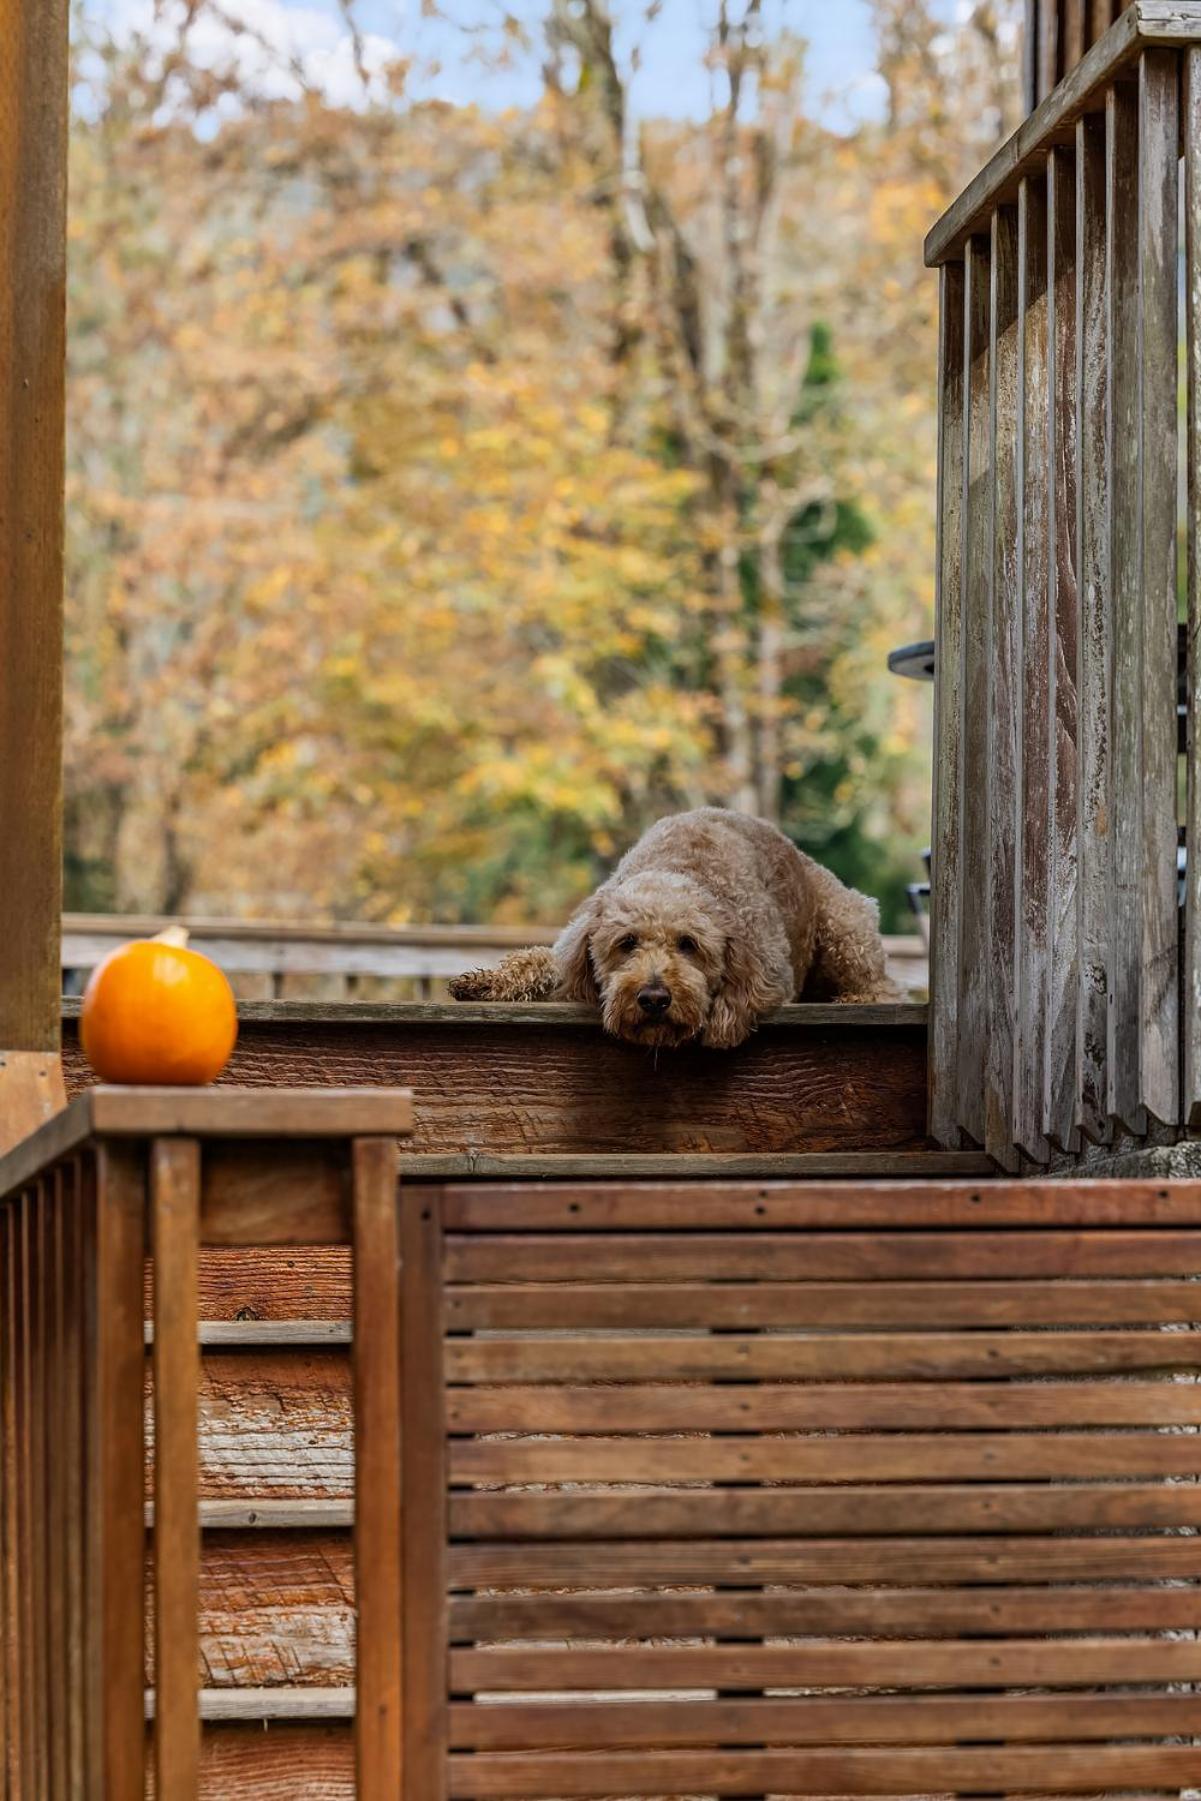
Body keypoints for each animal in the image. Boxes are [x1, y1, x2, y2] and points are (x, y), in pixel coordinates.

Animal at [450, 810, 900, 1051]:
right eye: (626, 943)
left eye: (689, 945)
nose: (653, 998)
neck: (678, 868)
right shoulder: (572, 945)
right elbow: (539, 961)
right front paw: (485, 983)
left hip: (847, 924)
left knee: (884, 987)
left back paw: (855, 998)